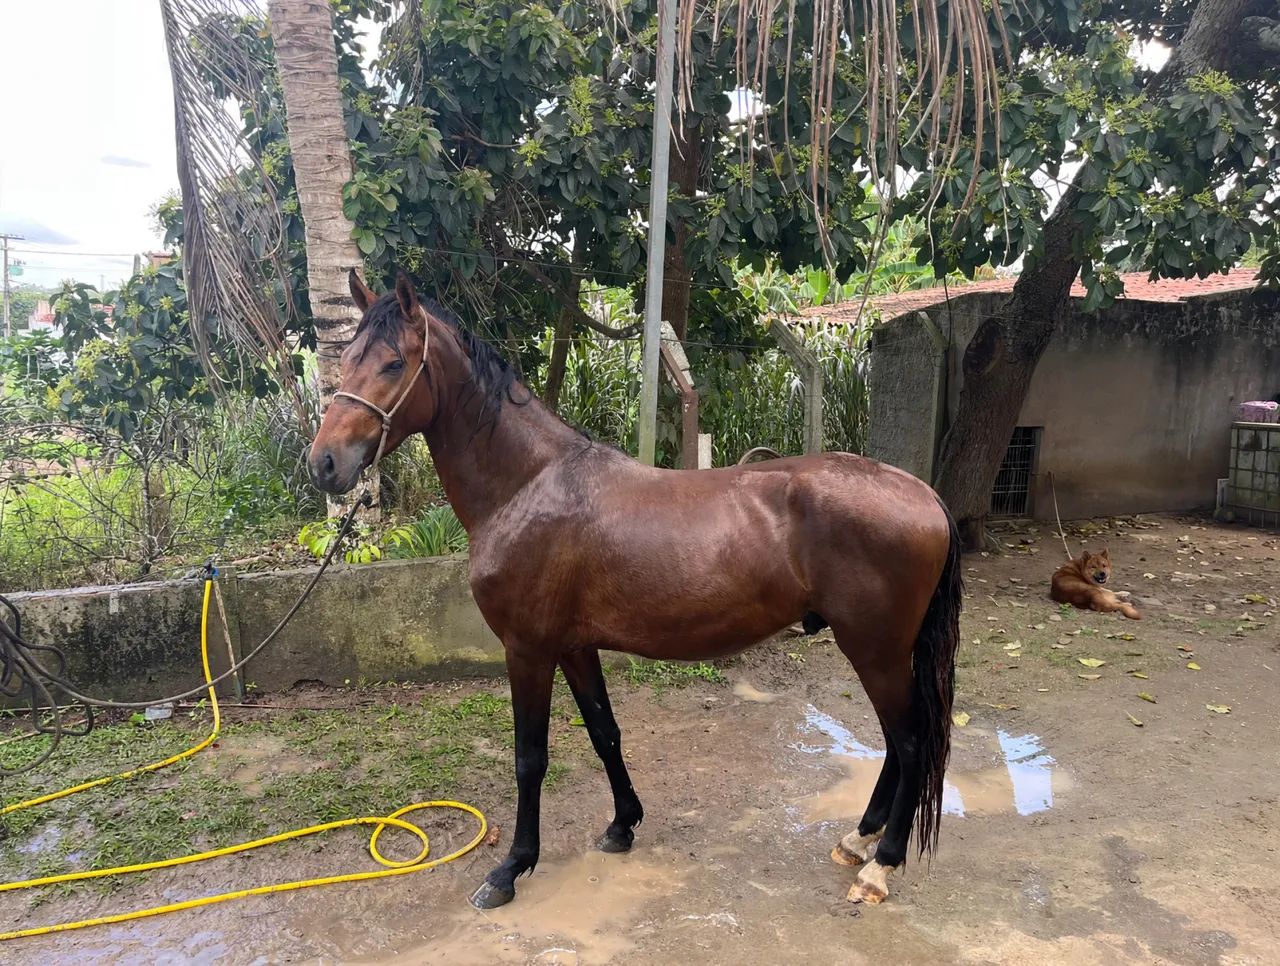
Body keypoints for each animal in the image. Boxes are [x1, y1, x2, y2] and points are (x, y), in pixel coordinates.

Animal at [308, 271, 964, 909]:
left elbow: (529, 759)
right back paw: (859, 839)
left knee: (910, 743)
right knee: (896, 742)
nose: (324, 465)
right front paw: (623, 825)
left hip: (875, 649)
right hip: (881, 651)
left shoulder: (528, 650)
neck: (527, 485)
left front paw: (511, 868)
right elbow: (604, 732)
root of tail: (924, 494)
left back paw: (881, 865)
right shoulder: (574, 647)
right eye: (347, 359)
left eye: (394, 363)